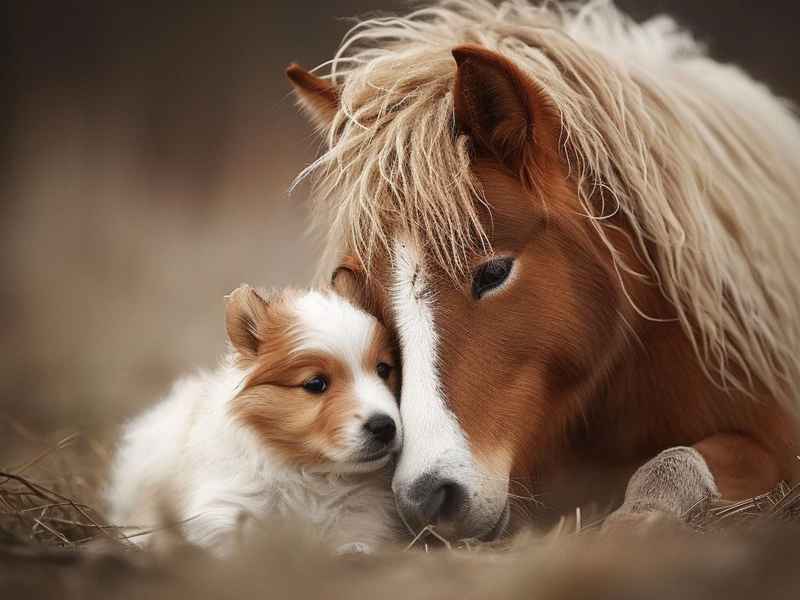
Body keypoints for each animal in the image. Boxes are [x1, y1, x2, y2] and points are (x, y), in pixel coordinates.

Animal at [286, 0, 800, 540]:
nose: (428, 500)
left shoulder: (772, 443)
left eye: (493, 273)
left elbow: (675, 463)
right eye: (359, 288)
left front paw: (635, 524)